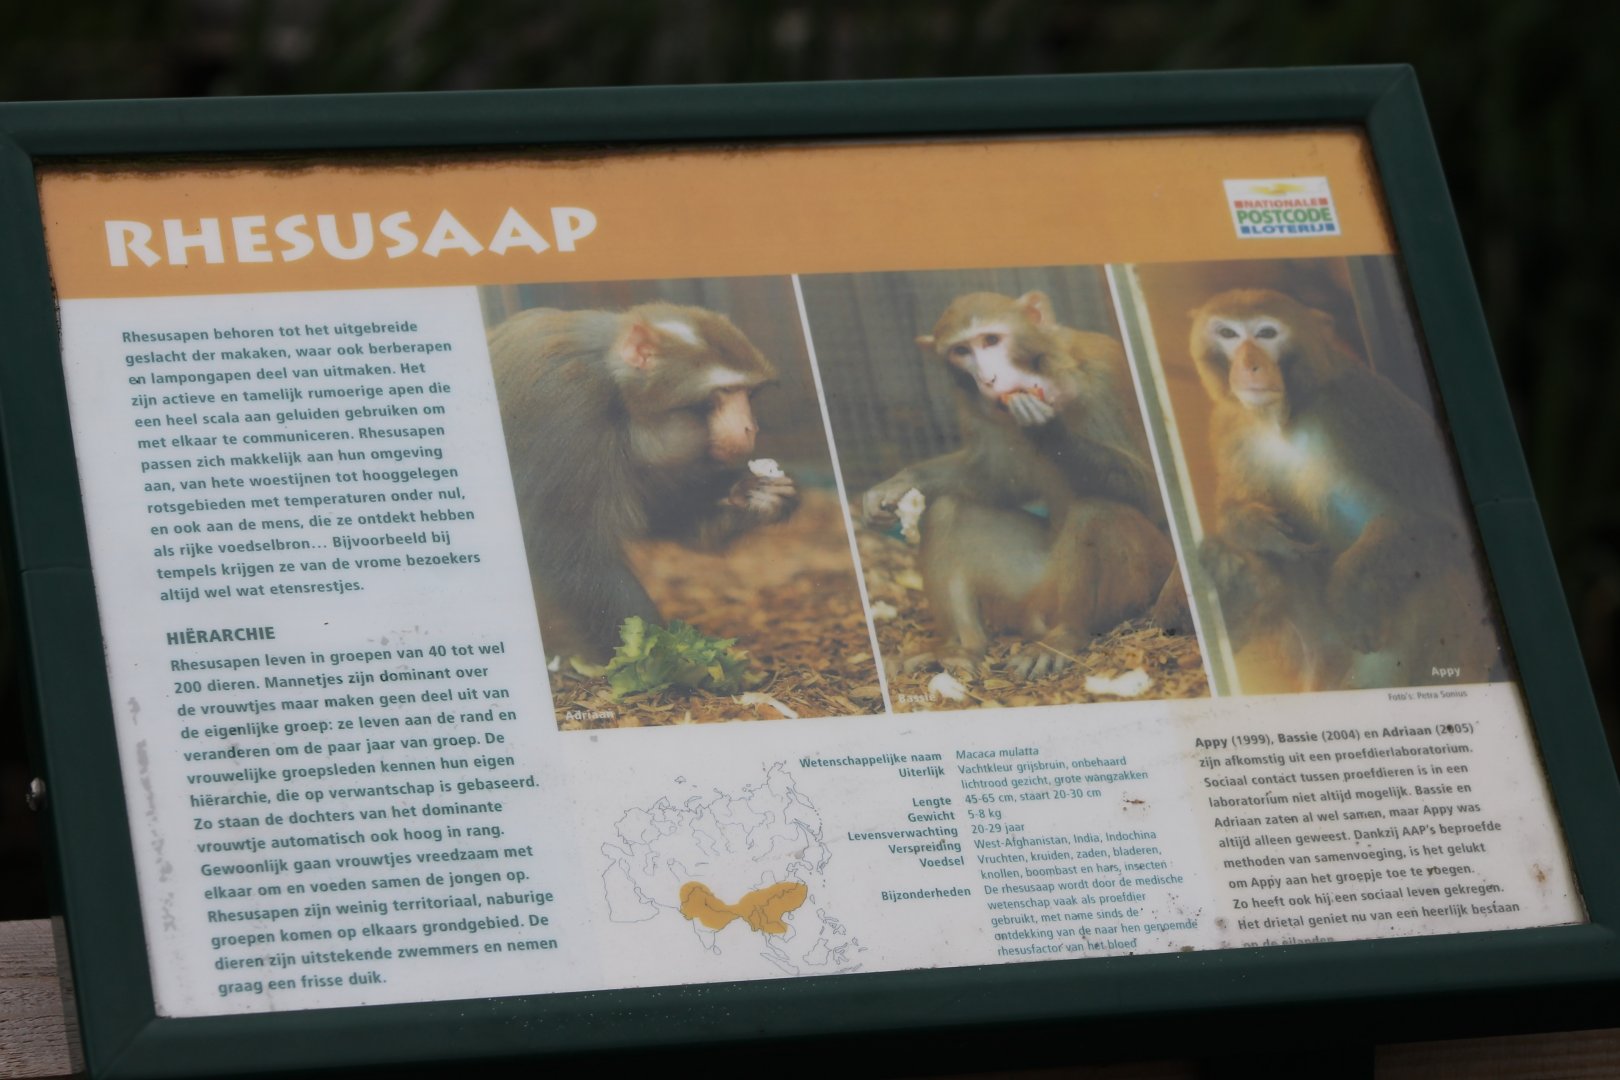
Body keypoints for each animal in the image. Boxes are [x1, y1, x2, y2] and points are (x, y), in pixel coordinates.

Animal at [488, 303, 799, 665]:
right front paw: (661, 656)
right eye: (723, 392)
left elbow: (660, 511)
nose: (751, 428)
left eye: (749, 393)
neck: (612, 385)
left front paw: (752, 494)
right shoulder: (563, 412)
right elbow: (567, 553)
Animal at [861, 290, 1187, 680]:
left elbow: (1152, 490)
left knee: (1098, 512)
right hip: (1030, 590)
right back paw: (961, 648)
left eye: (991, 340)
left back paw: (1065, 636)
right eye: (961, 351)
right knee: (948, 511)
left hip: (1145, 579)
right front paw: (897, 485)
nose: (988, 379)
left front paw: (1048, 431)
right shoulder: (975, 407)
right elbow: (997, 475)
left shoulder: (1106, 374)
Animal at [1190, 287, 1499, 689]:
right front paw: (1254, 527)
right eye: (1228, 333)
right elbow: (1239, 513)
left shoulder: (1364, 407)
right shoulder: (1230, 427)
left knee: (1435, 567)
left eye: (1266, 333)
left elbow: (1440, 520)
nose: (1249, 366)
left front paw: (1351, 595)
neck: (1287, 417)